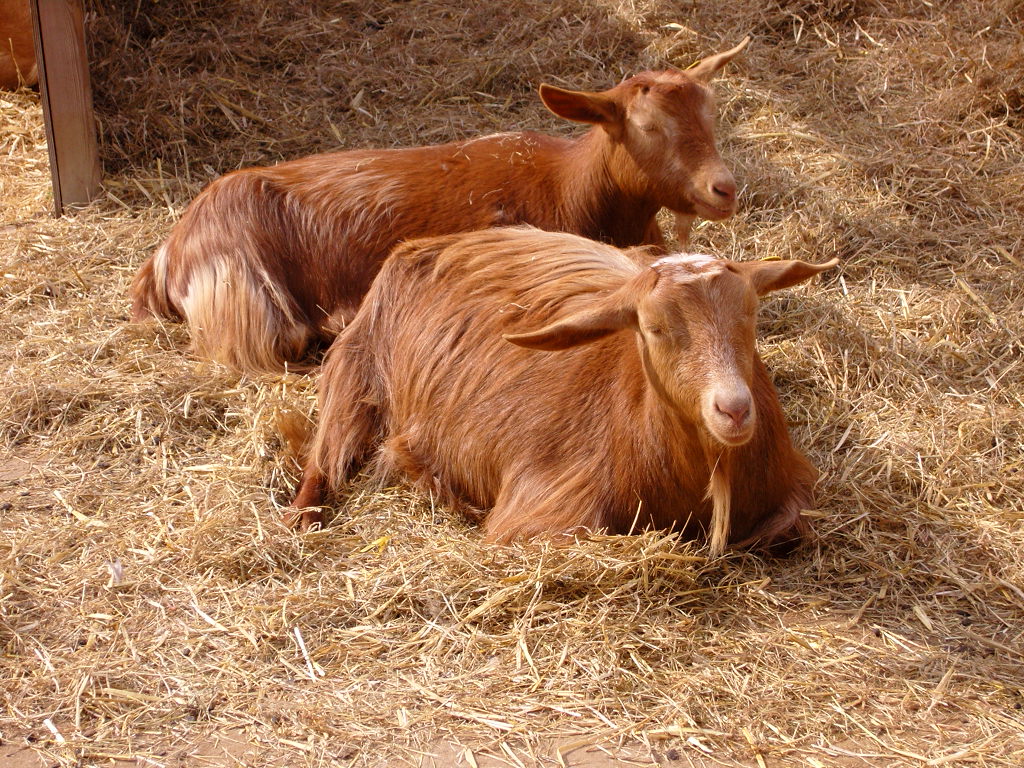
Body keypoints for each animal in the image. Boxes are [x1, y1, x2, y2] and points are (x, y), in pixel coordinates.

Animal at [131, 39, 750, 373]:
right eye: (647, 126)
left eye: (712, 113)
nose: (724, 188)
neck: (570, 186)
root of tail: (168, 253)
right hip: (247, 294)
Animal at [289, 226, 837, 555]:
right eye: (653, 328)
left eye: (751, 313)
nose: (734, 409)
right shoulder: (540, 510)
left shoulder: (794, 488)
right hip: (356, 372)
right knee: (325, 458)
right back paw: (303, 521)